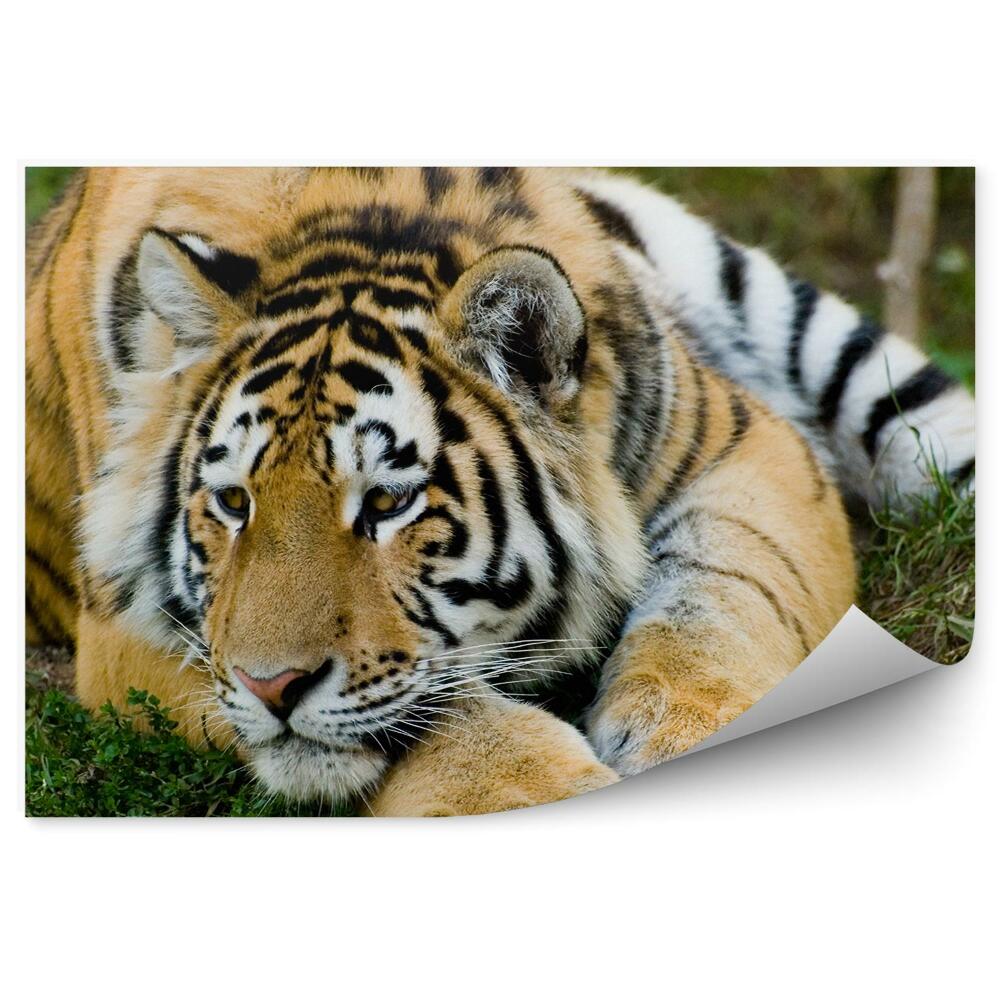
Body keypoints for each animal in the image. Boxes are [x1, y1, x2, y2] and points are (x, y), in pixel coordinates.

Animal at [25, 167, 975, 816]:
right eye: (233, 504)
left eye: (386, 504)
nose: (271, 689)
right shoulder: (125, 632)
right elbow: (445, 720)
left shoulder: (745, 444)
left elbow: (724, 594)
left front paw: (685, 728)